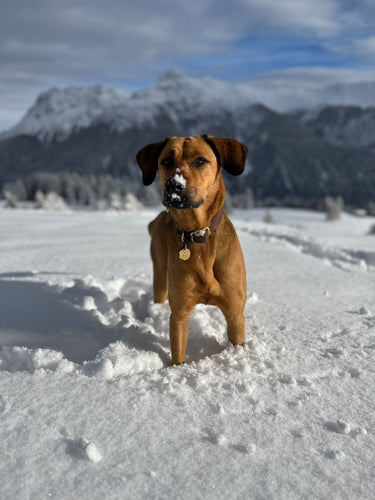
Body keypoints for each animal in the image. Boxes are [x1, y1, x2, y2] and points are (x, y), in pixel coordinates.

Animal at [137, 135, 248, 366]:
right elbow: (178, 354)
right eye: (166, 161)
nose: (174, 184)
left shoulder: (235, 313)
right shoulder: (179, 314)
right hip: (160, 274)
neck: (198, 234)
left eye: (200, 160)